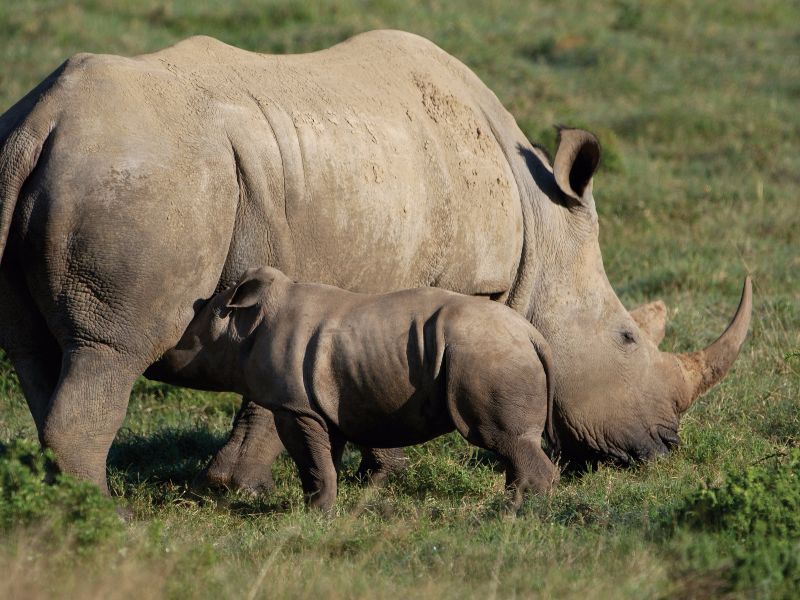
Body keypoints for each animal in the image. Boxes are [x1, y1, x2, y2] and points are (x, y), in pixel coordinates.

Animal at [167, 266, 559, 511]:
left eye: (188, 338)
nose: (163, 357)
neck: (245, 324)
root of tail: (532, 334)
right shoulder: (321, 403)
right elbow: (324, 458)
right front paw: (322, 506)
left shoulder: (294, 406)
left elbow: (309, 458)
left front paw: (314, 512)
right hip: (495, 351)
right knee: (511, 443)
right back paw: (519, 505)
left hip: (489, 355)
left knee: (501, 438)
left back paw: (519, 511)